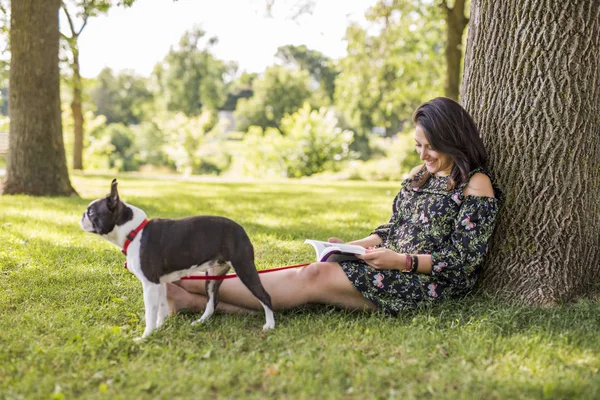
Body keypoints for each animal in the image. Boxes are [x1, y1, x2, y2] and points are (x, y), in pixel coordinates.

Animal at [79, 180, 274, 340]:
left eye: (91, 212)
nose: (81, 216)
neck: (134, 232)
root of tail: (241, 229)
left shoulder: (149, 284)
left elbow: (151, 312)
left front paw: (145, 336)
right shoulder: (159, 283)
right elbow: (162, 308)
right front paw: (159, 329)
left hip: (244, 268)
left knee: (264, 295)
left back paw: (270, 325)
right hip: (212, 276)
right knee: (212, 302)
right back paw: (200, 322)